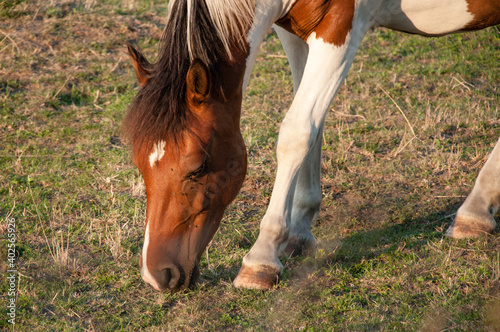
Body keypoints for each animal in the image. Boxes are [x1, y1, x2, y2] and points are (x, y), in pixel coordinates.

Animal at [124, 0, 500, 290]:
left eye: (198, 167)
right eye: (139, 165)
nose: (157, 275)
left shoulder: (341, 28)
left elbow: (297, 131)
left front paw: (261, 258)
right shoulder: (294, 30)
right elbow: (311, 122)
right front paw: (299, 232)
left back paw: (474, 210)